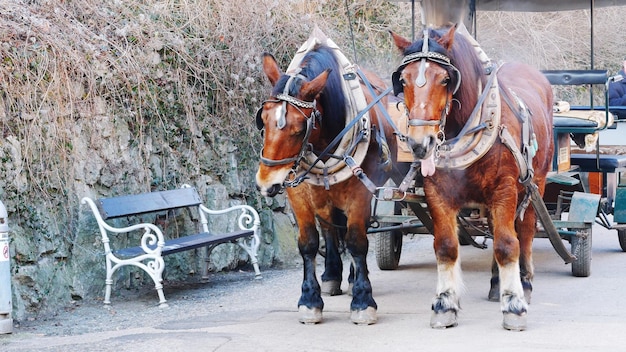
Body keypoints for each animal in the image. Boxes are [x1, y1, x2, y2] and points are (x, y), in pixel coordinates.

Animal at [254, 39, 394, 324]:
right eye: (262, 120)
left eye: (299, 129)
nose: (266, 184)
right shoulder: (298, 193)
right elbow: (308, 243)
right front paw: (310, 299)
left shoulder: (360, 193)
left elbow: (356, 241)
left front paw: (363, 300)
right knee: (329, 228)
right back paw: (331, 275)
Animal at [390, 26, 552, 332]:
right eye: (403, 80)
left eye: (445, 79)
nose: (420, 144)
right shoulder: (437, 193)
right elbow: (446, 246)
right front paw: (445, 303)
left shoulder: (505, 190)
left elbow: (506, 244)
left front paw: (514, 306)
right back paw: (496, 283)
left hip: (535, 182)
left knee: (524, 231)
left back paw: (524, 282)